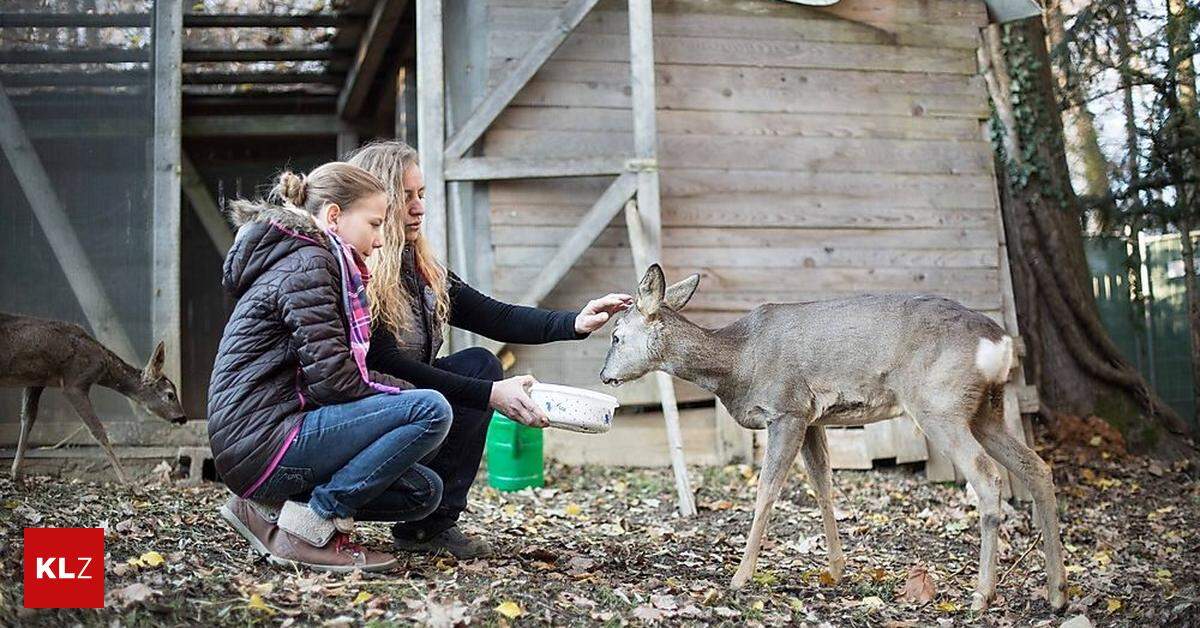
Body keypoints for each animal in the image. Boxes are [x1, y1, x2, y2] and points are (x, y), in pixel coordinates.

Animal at [0, 312, 187, 487]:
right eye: (170, 394)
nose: (183, 418)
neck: (103, 365)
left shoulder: (36, 381)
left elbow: (28, 418)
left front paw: (17, 475)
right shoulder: (74, 382)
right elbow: (98, 430)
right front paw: (128, 482)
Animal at [600, 265, 1070, 614]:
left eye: (616, 336)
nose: (604, 375)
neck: (738, 361)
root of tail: (1000, 342)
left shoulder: (786, 409)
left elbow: (767, 490)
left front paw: (739, 576)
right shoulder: (813, 418)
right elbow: (823, 486)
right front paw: (838, 570)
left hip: (940, 404)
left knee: (988, 478)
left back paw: (981, 596)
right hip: (986, 410)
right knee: (1037, 467)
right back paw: (1057, 593)